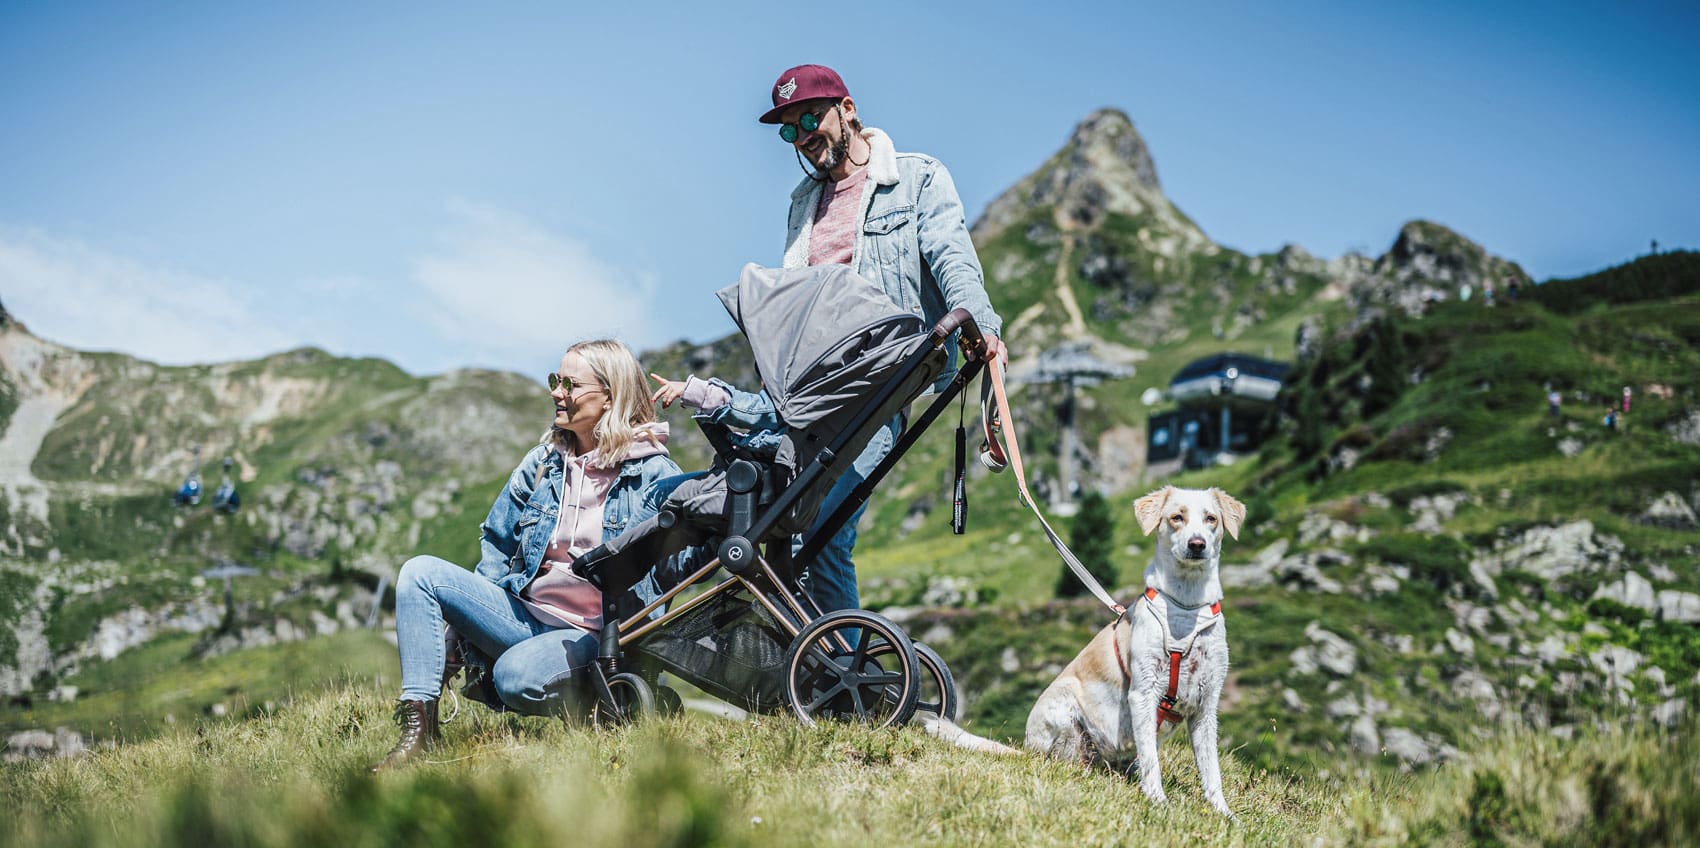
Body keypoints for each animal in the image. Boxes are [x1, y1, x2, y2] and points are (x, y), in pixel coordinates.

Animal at [931, 489, 1251, 819]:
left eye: (1211, 518)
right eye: (1177, 517)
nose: (1197, 544)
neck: (1186, 608)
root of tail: (1027, 750)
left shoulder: (1206, 705)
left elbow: (1211, 769)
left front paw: (1224, 814)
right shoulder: (1143, 694)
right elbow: (1152, 760)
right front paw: (1158, 801)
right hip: (1065, 706)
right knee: (1067, 761)